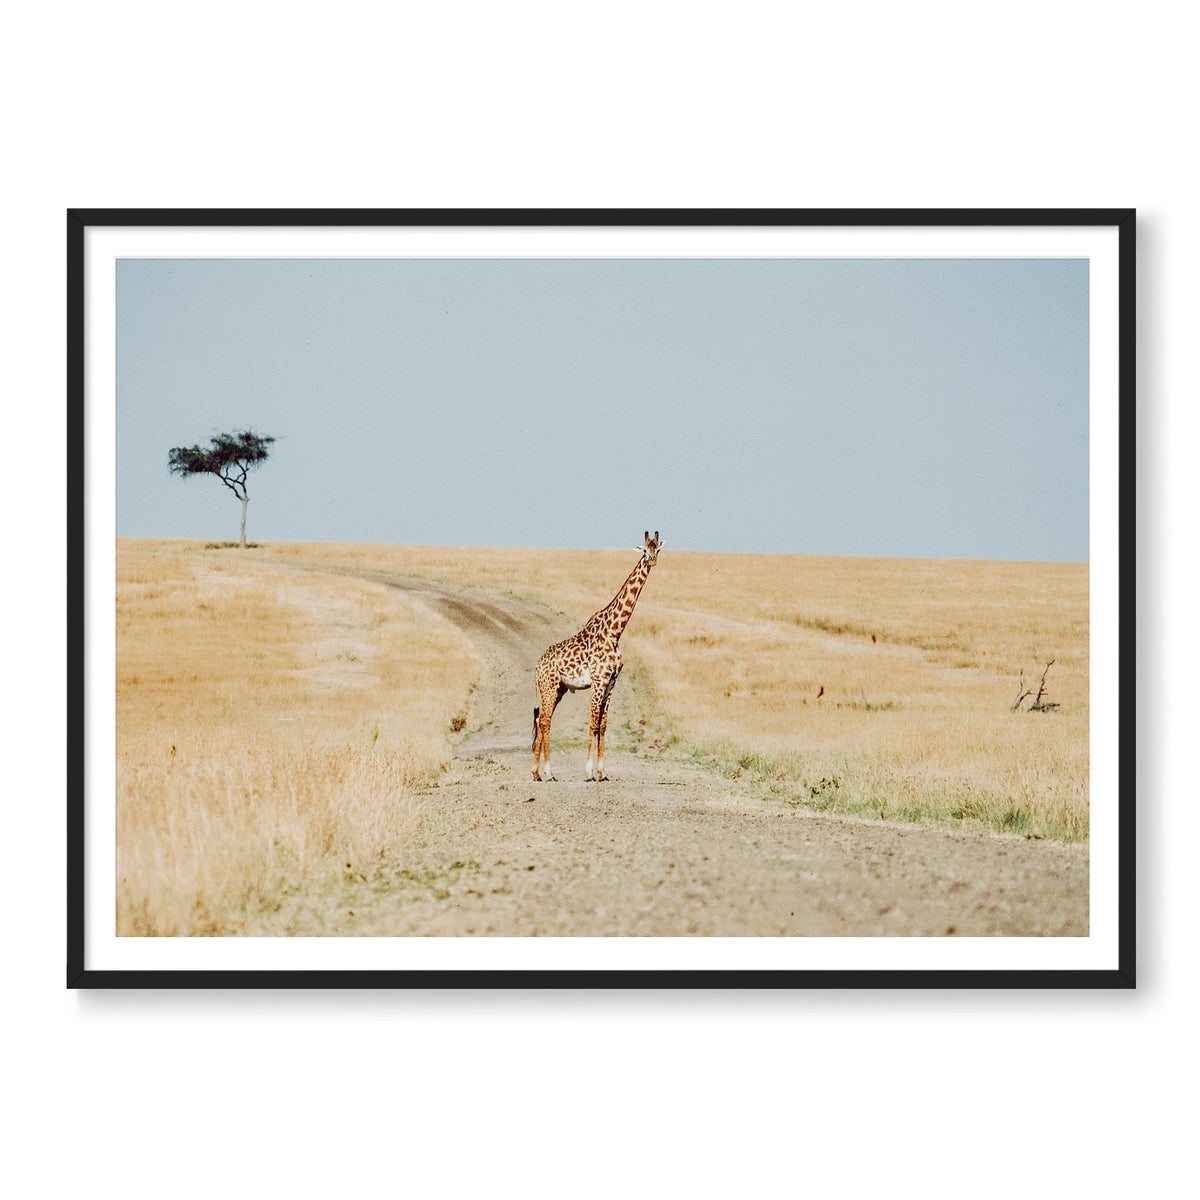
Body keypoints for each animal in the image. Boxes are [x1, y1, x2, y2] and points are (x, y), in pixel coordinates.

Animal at [532, 531, 663, 782]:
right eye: (644, 550)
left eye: (657, 549)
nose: (652, 561)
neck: (615, 632)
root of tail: (537, 664)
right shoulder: (598, 681)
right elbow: (592, 723)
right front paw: (589, 772)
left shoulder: (611, 682)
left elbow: (602, 725)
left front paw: (602, 772)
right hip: (549, 686)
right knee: (544, 721)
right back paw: (549, 772)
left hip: (559, 689)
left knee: (540, 718)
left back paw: (536, 773)